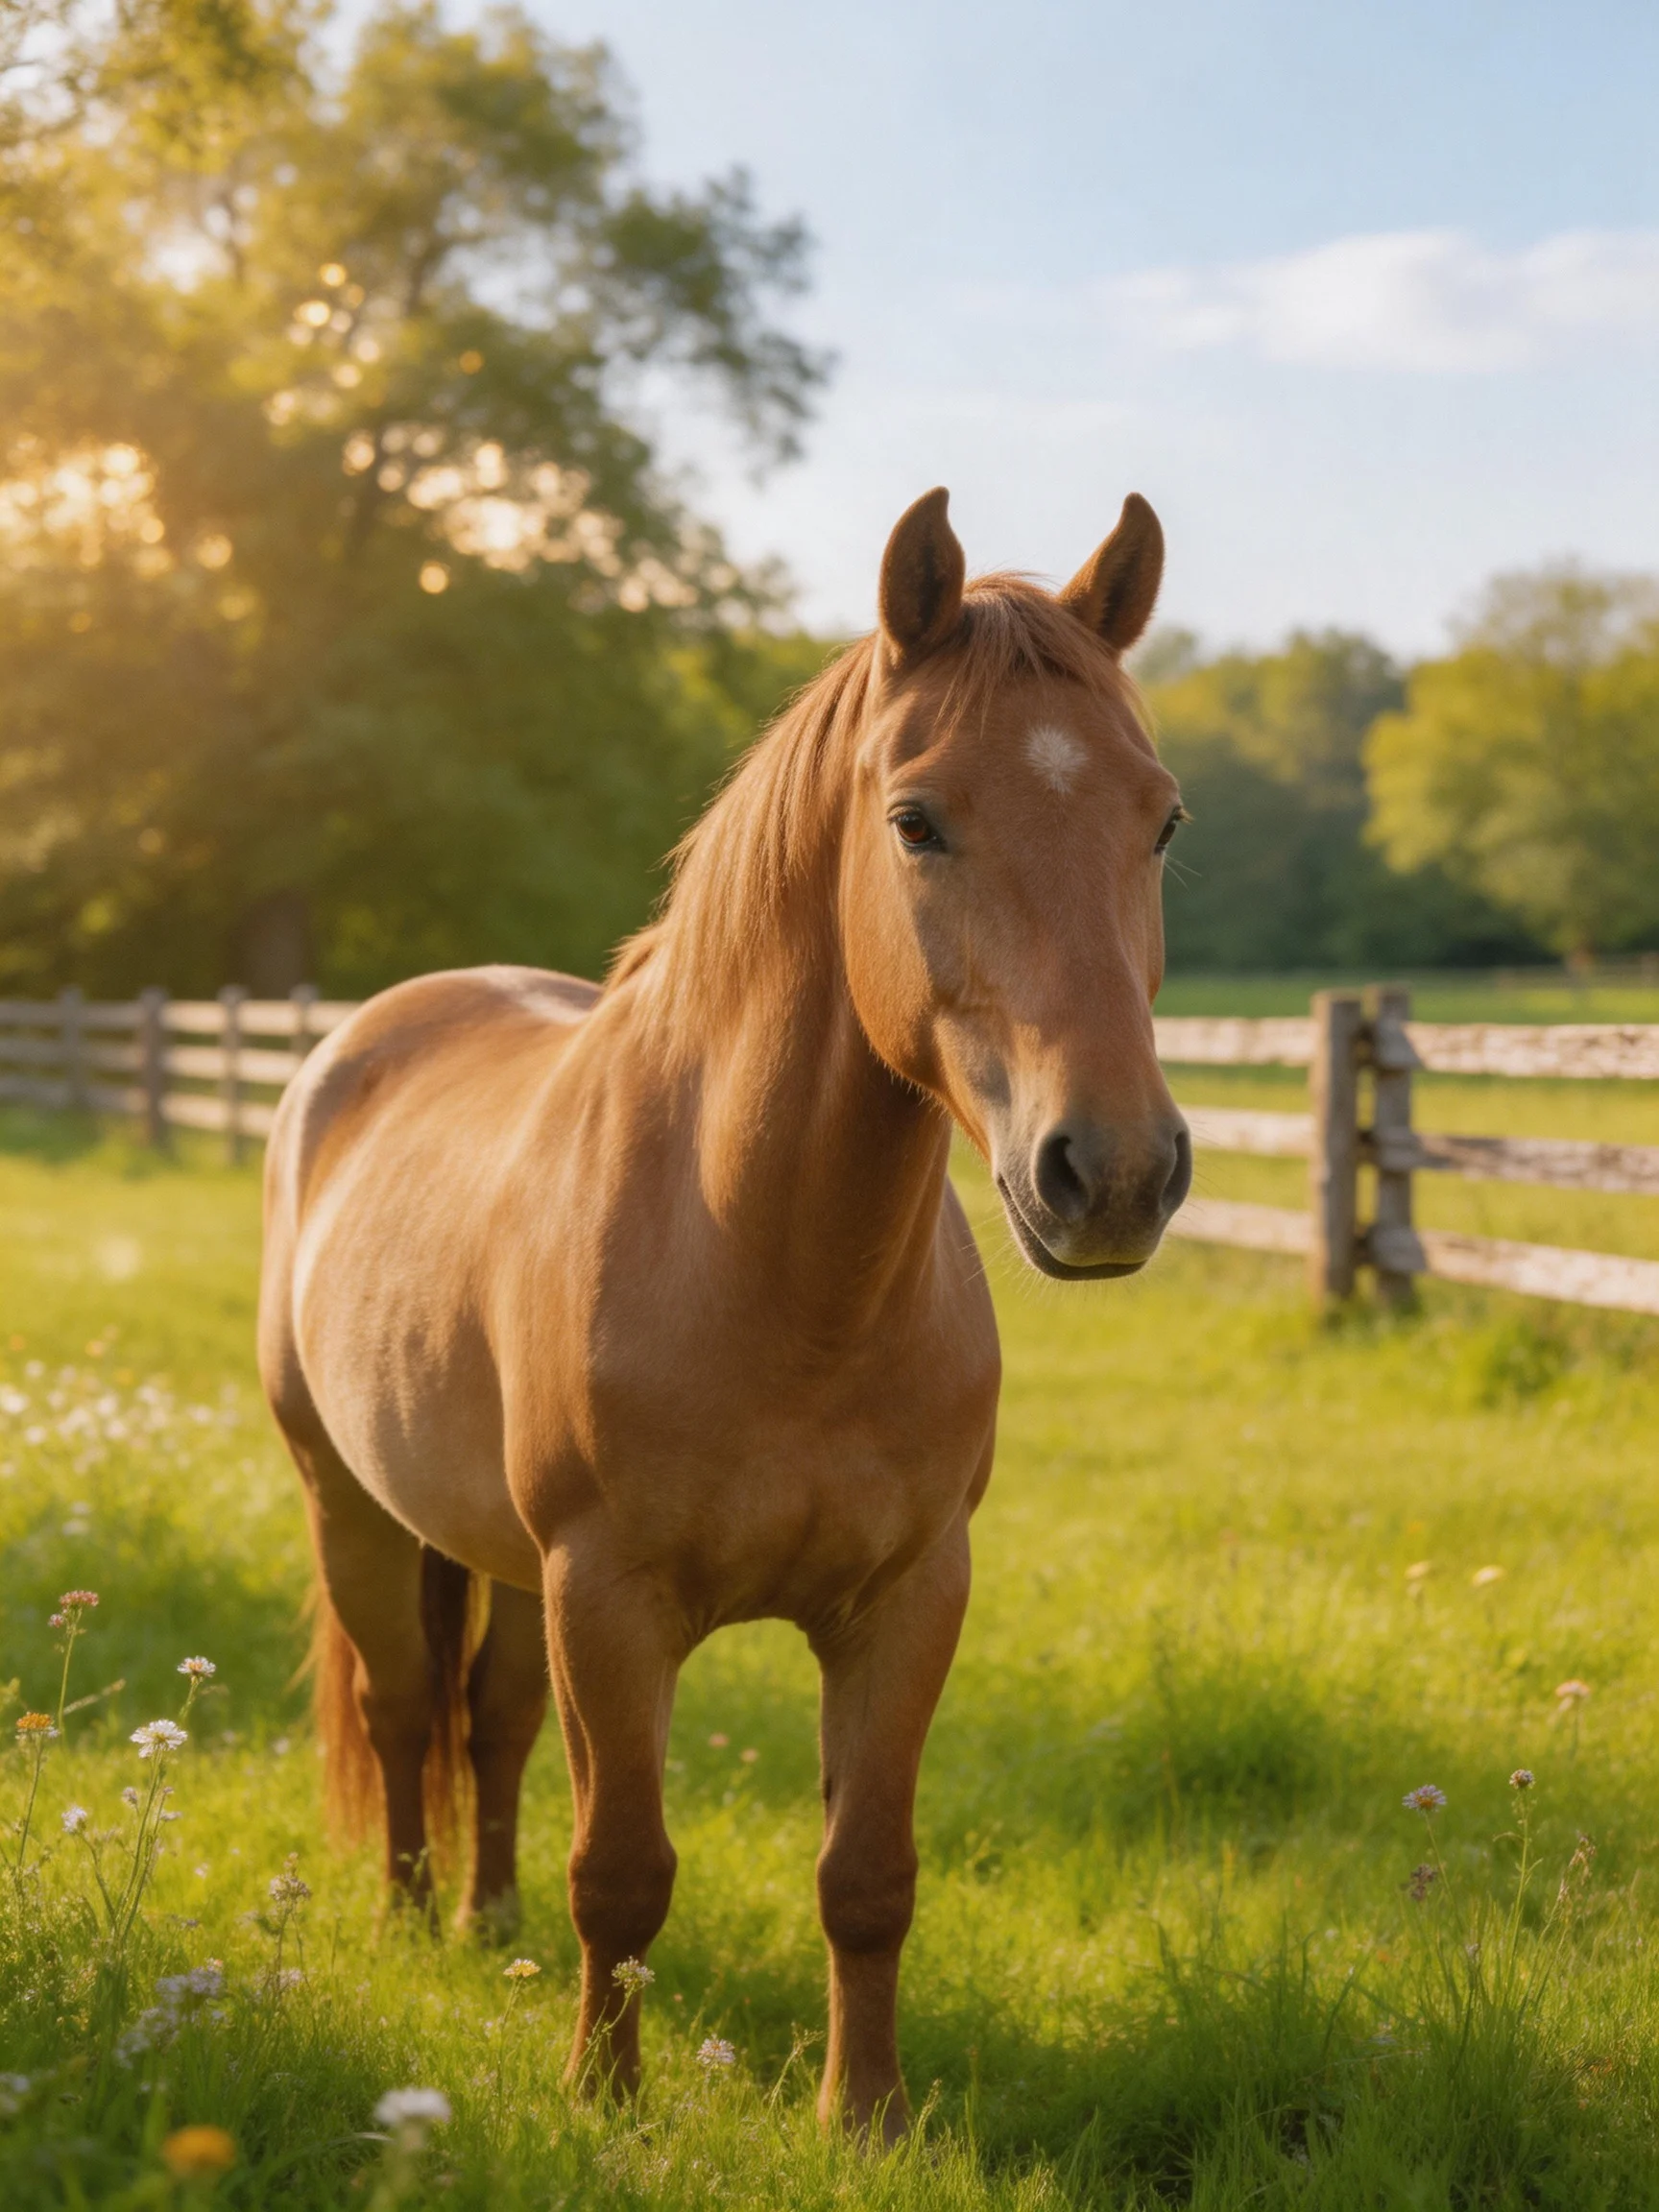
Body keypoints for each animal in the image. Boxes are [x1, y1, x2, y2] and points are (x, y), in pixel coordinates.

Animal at [257, 485, 1192, 2139]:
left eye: (1161, 817)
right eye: (917, 820)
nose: (1117, 1172)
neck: (776, 1275)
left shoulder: (908, 1601)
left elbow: (866, 1875)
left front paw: (863, 2116)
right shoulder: (612, 1599)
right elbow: (624, 1869)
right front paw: (606, 2100)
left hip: (499, 1559)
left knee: (491, 1718)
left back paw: (490, 1922)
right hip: (352, 1507)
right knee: (402, 1708)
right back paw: (409, 1920)